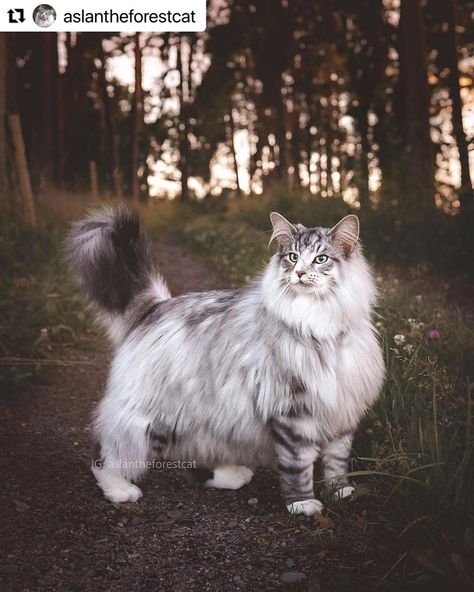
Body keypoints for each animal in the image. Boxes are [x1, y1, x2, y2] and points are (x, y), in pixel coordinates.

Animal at [65, 207, 386, 512]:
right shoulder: (292, 410)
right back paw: (119, 489)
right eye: (292, 257)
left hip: (201, 412)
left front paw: (340, 492)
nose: (298, 274)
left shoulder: (343, 408)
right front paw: (302, 504)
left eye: (321, 259)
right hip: (149, 416)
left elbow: (336, 461)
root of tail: (158, 306)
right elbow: (298, 465)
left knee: (192, 457)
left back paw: (230, 476)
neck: (320, 325)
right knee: (103, 453)